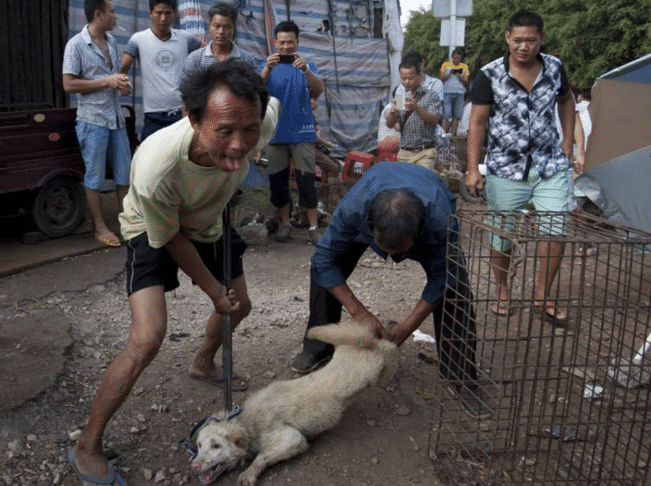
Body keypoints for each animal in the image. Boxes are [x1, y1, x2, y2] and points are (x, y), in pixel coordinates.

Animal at [188, 320, 398, 484]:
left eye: (216, 446)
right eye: (199, 445)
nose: (194, 466)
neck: (246, 423)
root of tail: (367, 343)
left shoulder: (292, 438)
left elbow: (262, 455)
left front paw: (249, 474)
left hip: (375, 368)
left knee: (389, 347)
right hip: (345, 344)